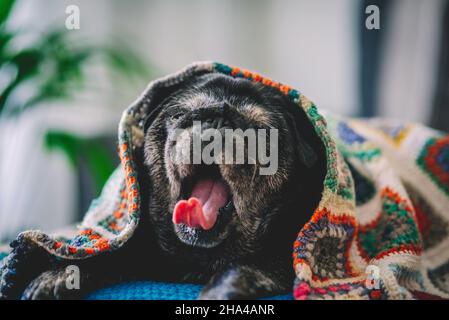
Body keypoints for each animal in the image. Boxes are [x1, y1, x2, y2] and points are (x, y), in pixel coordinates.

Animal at [18, 71, 326, 298]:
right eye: (179, 116)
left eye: (263, 133)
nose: (218, 118)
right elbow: (107, 254)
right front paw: (60, 275)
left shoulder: (277, 255)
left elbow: (240, 268)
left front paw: (218, 292)